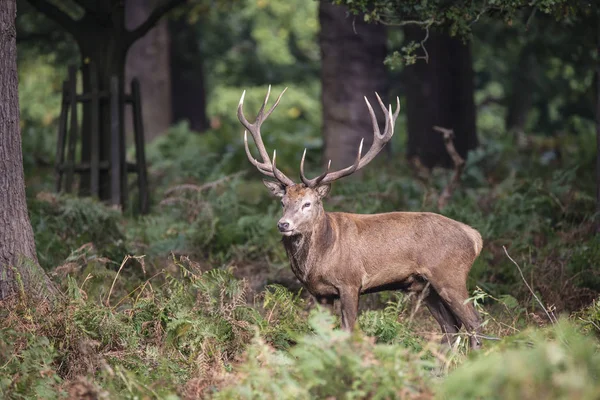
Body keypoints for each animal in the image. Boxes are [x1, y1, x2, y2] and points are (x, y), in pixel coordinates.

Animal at [237, 86, 486, 346]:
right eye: (283, 202)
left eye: (308, 203)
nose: (283, 224)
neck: (318, 261)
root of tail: (475, 237)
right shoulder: (319, 293)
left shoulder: (350, 282)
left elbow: (349, 330)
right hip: (425, 286)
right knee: (450, 326)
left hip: (450, 275)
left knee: (474, 322)